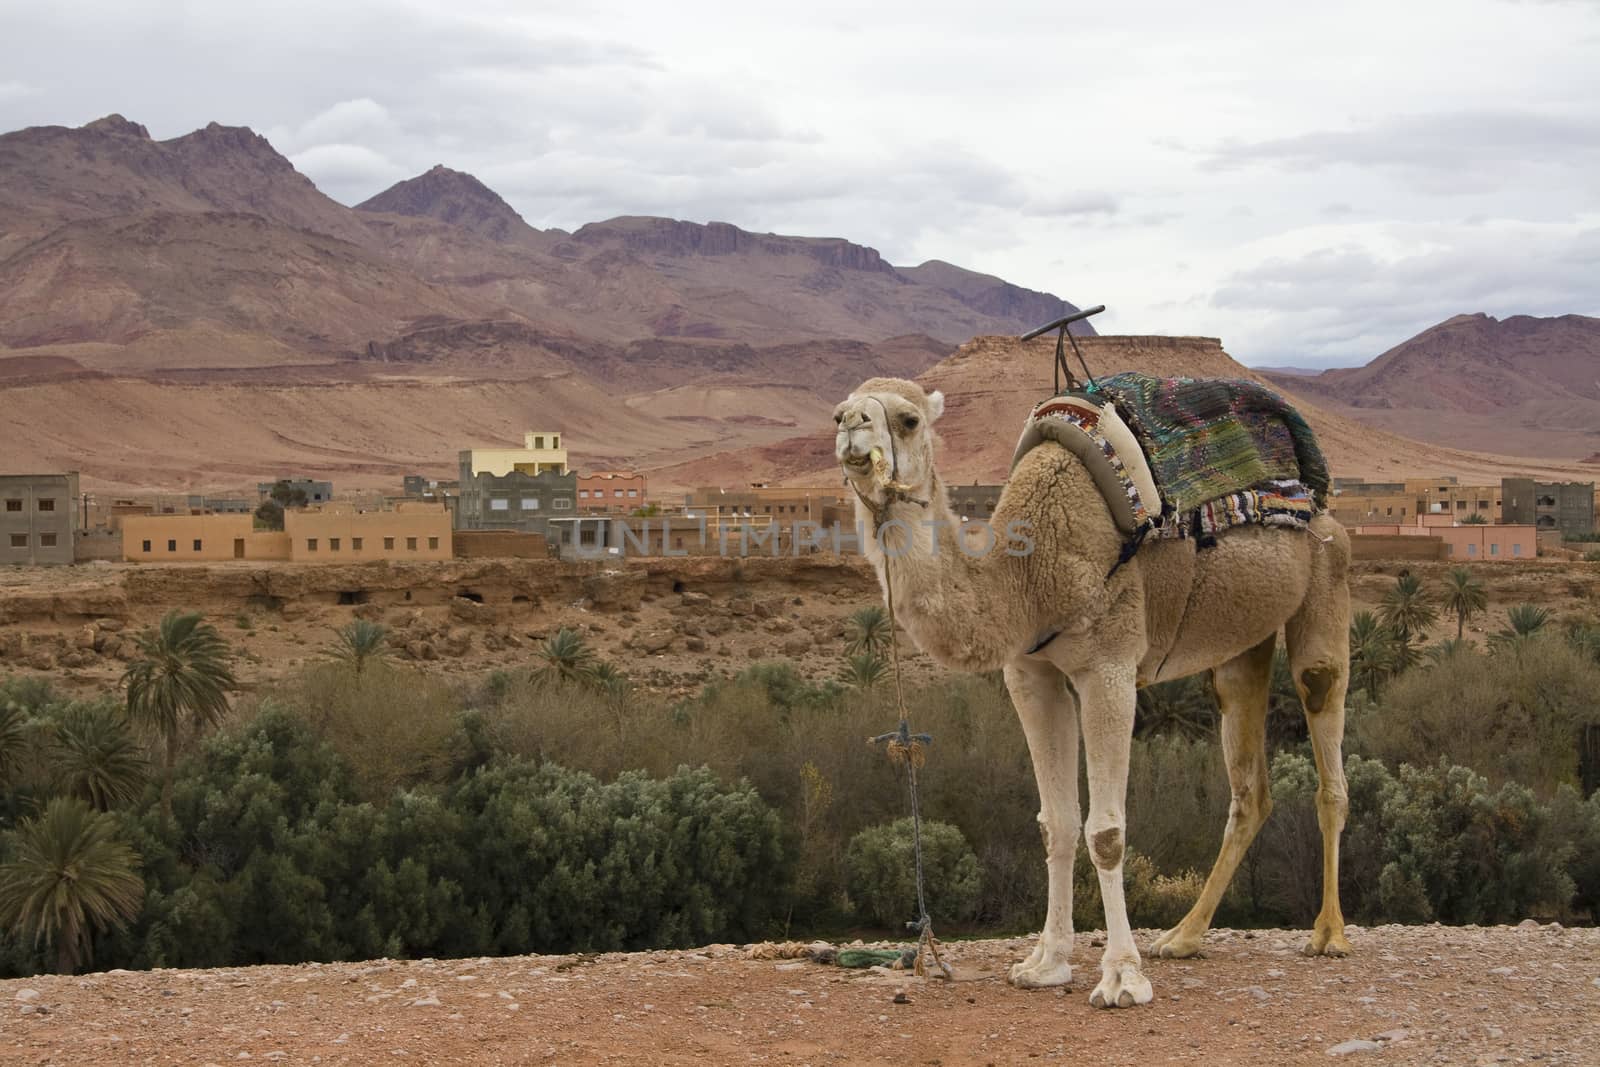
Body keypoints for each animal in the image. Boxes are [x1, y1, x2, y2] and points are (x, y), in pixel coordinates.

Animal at [838, 375, 1350, 1011]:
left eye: (908, 420)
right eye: (838, 410)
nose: (851, 427)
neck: (1023, 575)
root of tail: (1322, 506)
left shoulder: (1109, 666)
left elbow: (1106, 832)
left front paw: (1122, 978)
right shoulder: (1032, 675)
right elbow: (1055, 823)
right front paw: (1044, 964)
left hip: (1327, 584)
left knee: (1326, 741)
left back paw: (1329, 934)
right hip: (1241, 644)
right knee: (1249, 788)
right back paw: (1183, 937)